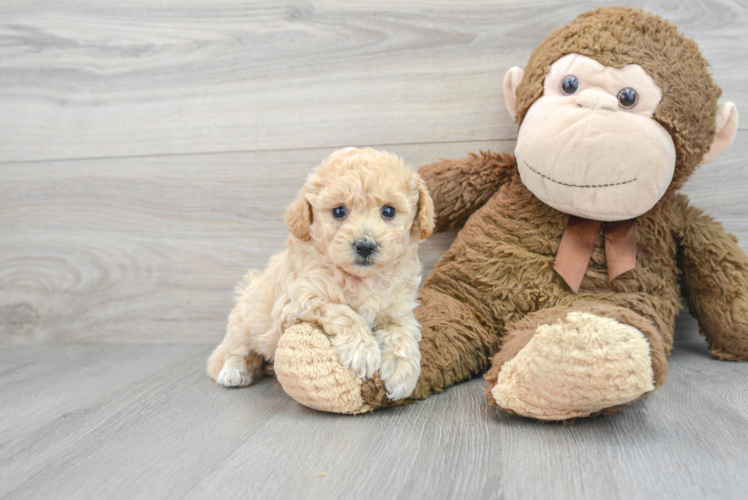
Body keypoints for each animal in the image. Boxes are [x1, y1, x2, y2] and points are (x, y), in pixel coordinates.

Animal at [207, 146, 436, 400]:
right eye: (338, 211)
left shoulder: (398, 308)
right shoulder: (301, 300)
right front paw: (363, 350)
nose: (365, 246)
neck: (360, 279)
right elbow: (343, 311)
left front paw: (402, 371)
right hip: (243, 319)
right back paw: (234, 372)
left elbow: (401, 331)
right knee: (239, 350)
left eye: (388, 211)